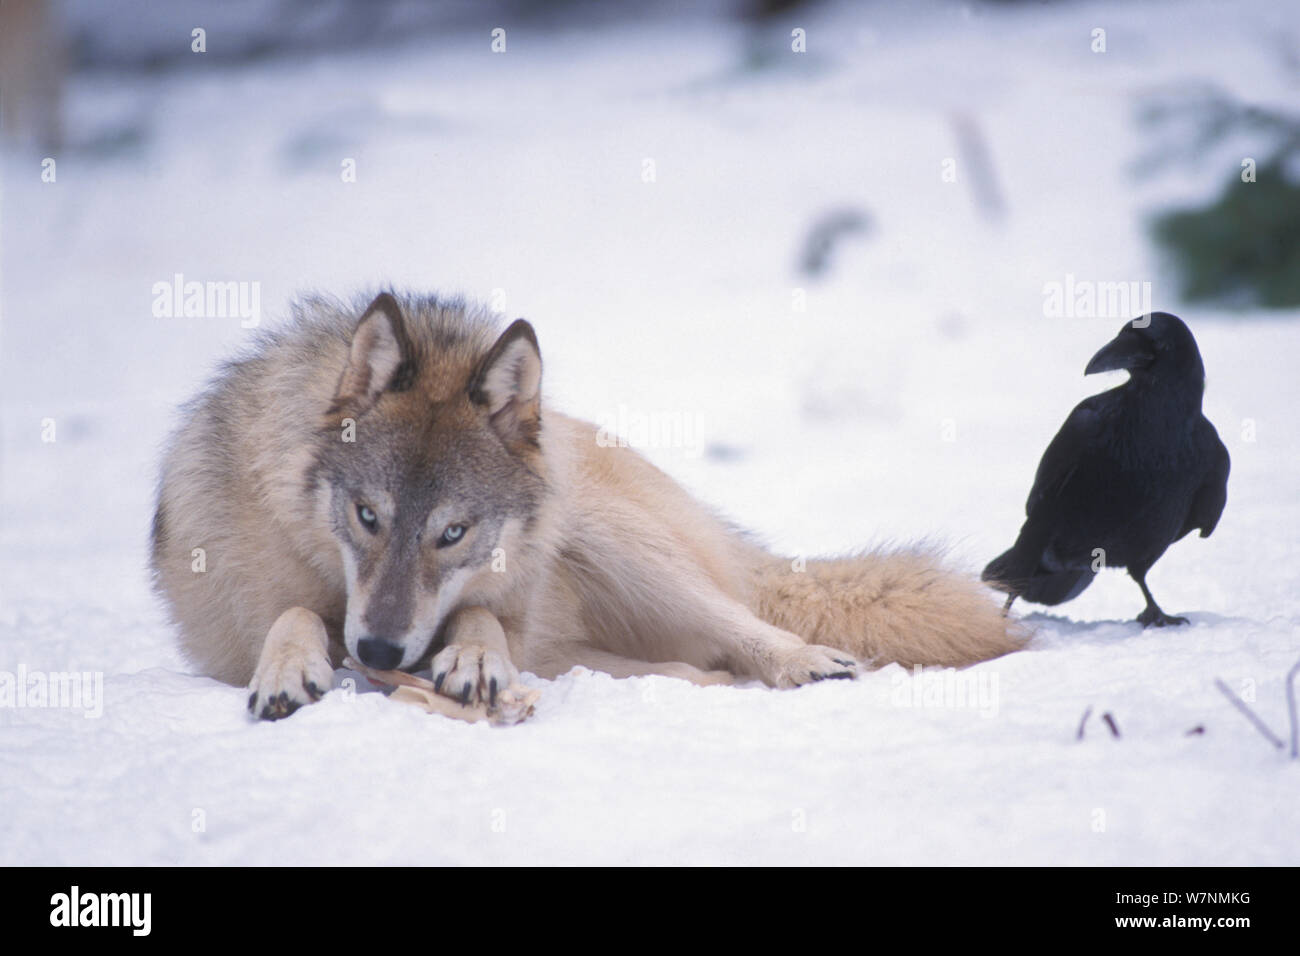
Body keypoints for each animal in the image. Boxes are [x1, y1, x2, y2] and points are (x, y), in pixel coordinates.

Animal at [152, 290, 1024, 717]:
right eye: (367, 517)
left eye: (453, 534)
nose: (377, 653)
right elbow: (293, 613)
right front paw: (290, 668)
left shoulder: (502, 603)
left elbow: (479, 618)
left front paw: (473, 660)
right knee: (696, 668)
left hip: (615, 539)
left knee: (744, 627)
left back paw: (809, 664)